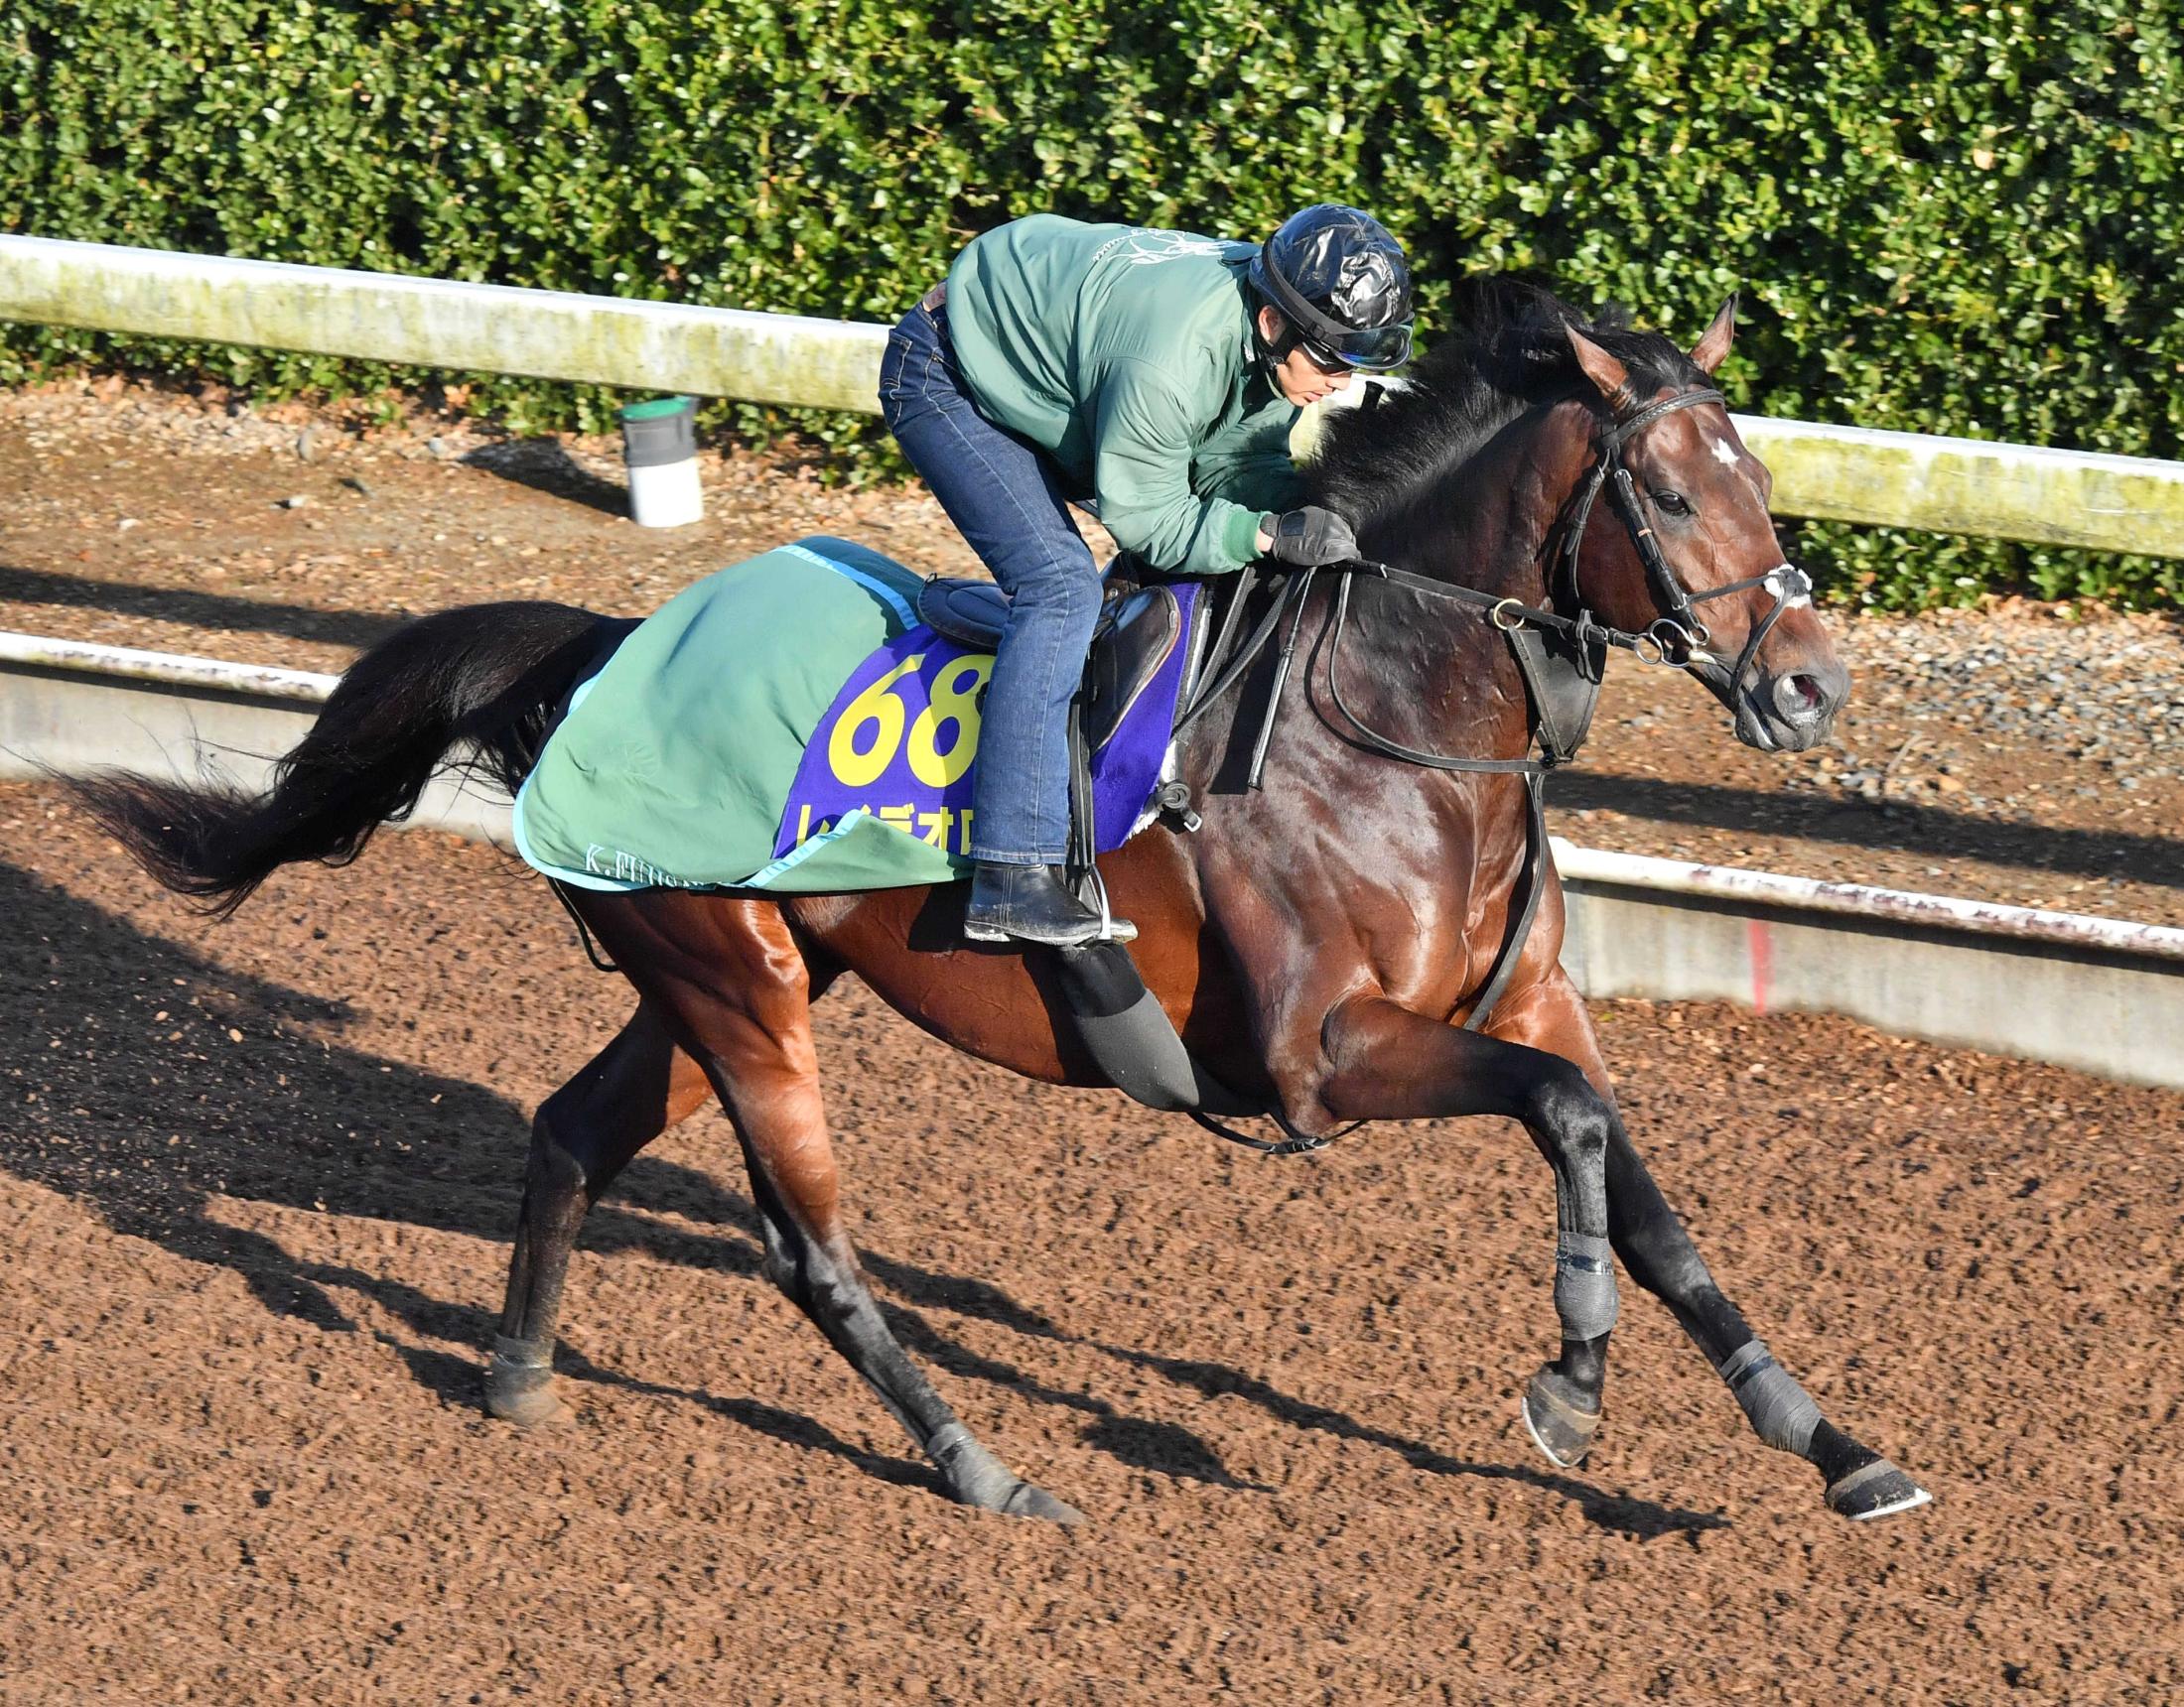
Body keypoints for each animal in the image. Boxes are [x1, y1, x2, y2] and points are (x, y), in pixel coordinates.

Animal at [76, 277, 1939, 1527]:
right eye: (1676, 491)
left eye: (1769, 478)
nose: (1811, 685)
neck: (1392, 718)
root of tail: (609, 646)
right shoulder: (1325, 1060)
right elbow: (1564, 1123)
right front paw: (1569, 1387)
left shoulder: (1528, 1002)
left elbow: (1641, 1189)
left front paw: (1833, 1444)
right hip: (745, 997)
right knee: (809, 1248)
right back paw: (984, 1468)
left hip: (720, 975)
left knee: (573, 1129)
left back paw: (522, 1381)